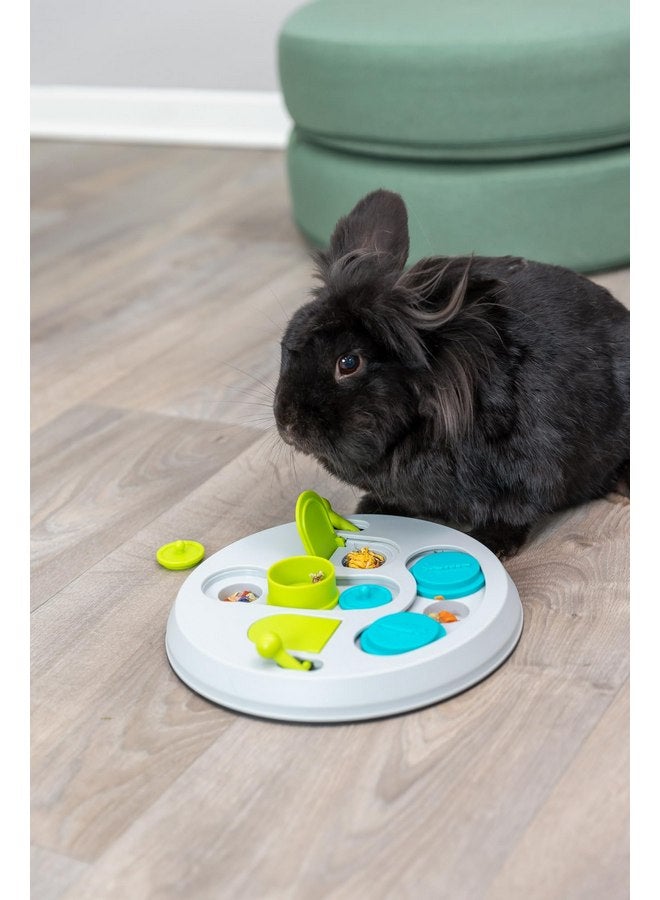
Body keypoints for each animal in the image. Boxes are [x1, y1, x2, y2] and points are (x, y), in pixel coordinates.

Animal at [274, 189, 629, 558]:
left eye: (348, 363)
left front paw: (492, 544)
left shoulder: (530, 467)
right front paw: (373, 509)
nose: (288, 426)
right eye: (285, 345)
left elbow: (515, 512)